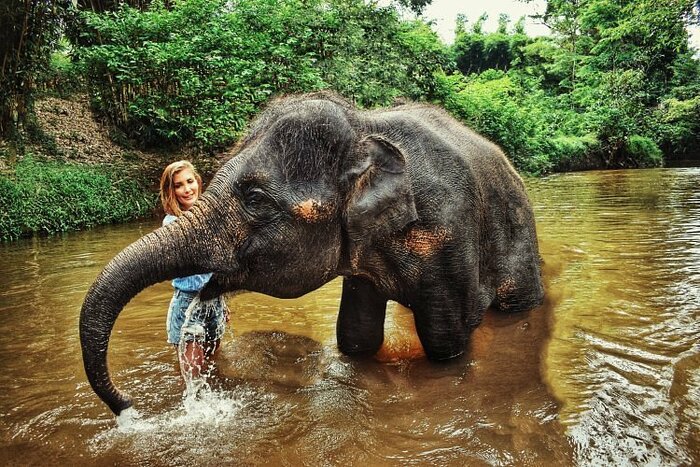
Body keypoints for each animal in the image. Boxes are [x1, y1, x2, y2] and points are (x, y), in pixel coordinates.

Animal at [80, 91, 544, 415]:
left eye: (256, 198)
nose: (128, 406)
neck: (364, 127)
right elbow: (355, 335)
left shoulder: (448, 235)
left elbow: (445, 341)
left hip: (519, 237)